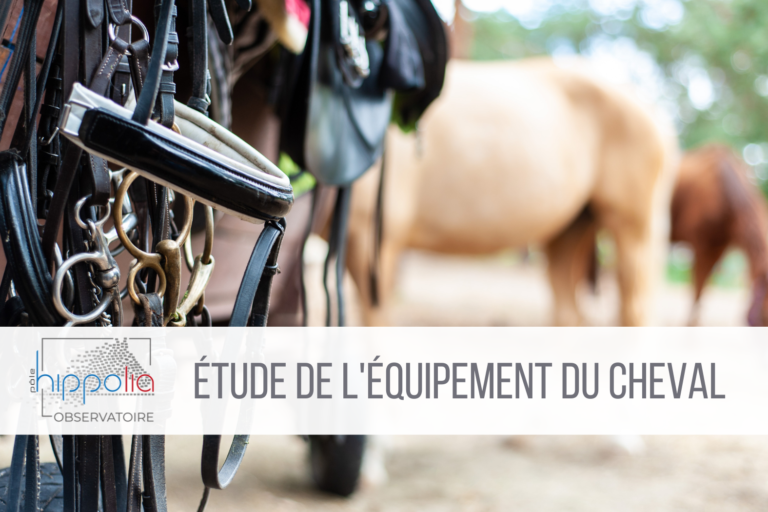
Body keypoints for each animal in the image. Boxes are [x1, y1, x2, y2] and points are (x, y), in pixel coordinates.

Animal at [344, 57, 680, 327]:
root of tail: (649, 103)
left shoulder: (373, 239)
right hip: (571, 228)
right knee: (568, 315)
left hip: (634, 229)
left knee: (634, 313)